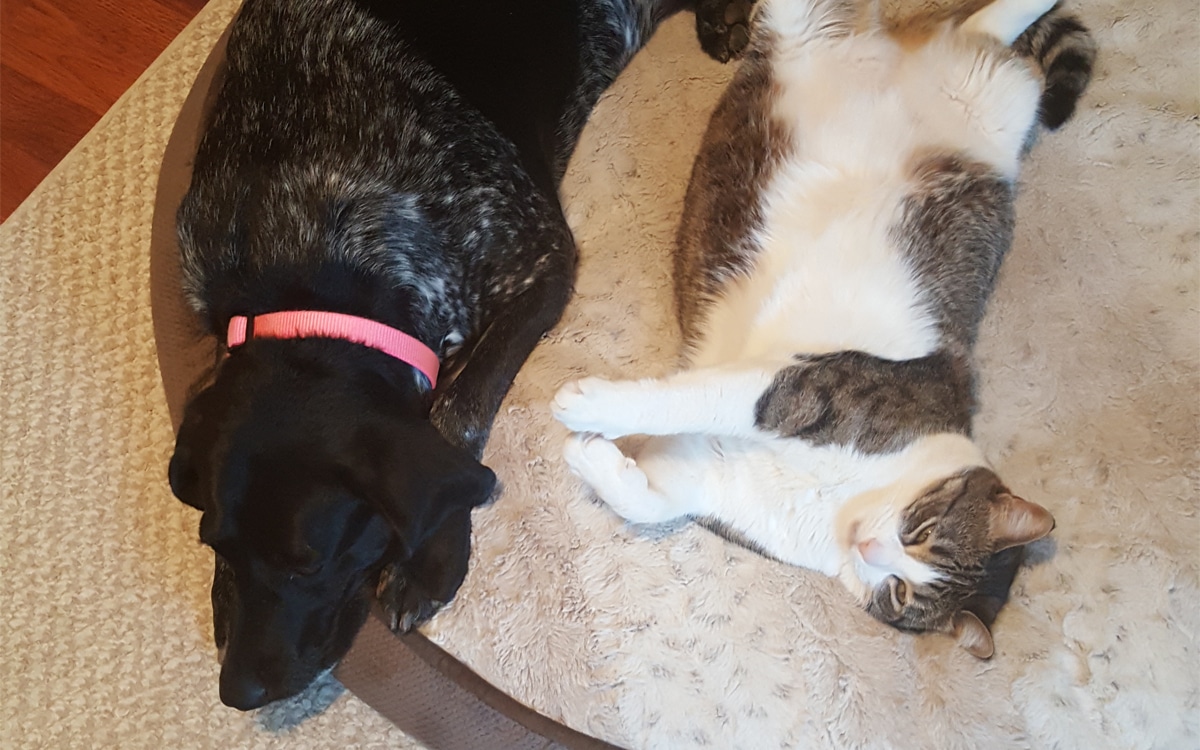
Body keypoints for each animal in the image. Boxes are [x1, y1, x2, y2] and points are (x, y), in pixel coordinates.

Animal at [169, 0, 748, 705]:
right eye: (214, 542)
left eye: (308, 564)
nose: (237, 691)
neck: (298, 267)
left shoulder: (540, 264)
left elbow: (456, 411)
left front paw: (427, 559)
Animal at [552, 0, 1099, 652]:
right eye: (923, 529)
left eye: (901, 593)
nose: (871, 546)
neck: (842, 502)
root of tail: (891, 50)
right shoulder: (807, 388)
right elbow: (692, 398)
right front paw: (587, 406)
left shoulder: (710, 477)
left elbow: (651, 501)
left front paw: (589, 453)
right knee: (992, 22)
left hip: (991, 95)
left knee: (982, 32)